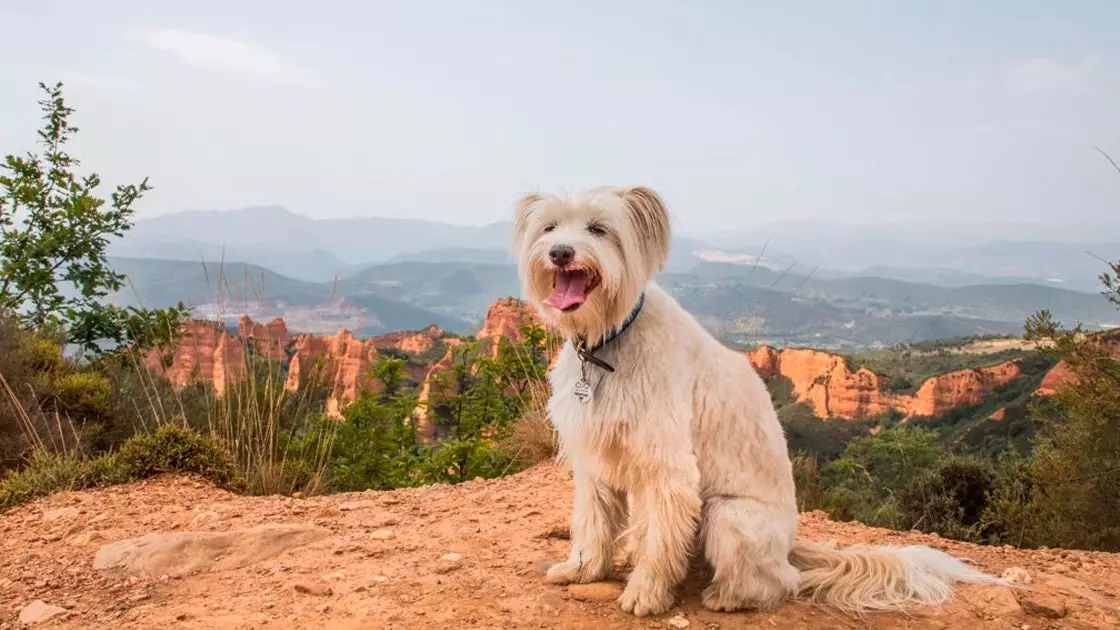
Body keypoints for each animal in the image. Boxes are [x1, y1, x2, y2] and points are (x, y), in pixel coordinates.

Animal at [512, 184, 1003, 614]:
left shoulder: (667, 467)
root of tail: (791, 546)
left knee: (779, 582)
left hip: (728, 515)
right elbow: (592, 523)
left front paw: (646, 594)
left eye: (598, 228)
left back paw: (729, 596)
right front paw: (583, 570)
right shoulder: (594, 457)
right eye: (549, 227)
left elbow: (658, 539)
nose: (560, 253)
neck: (607, 341)